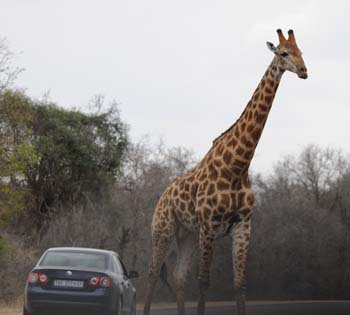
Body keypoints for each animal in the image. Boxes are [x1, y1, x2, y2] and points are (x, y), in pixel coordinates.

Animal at [142, 29, 306, 315]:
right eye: (284, 53)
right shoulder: (209, 225)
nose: (304, 71)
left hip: (186, 234)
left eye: (302, 51)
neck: (238, 166)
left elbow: (240, 284)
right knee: (152, 273)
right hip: (163, 229)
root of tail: (162, 196)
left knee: (178, 275)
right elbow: (204, 281)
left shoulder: (243, 225)